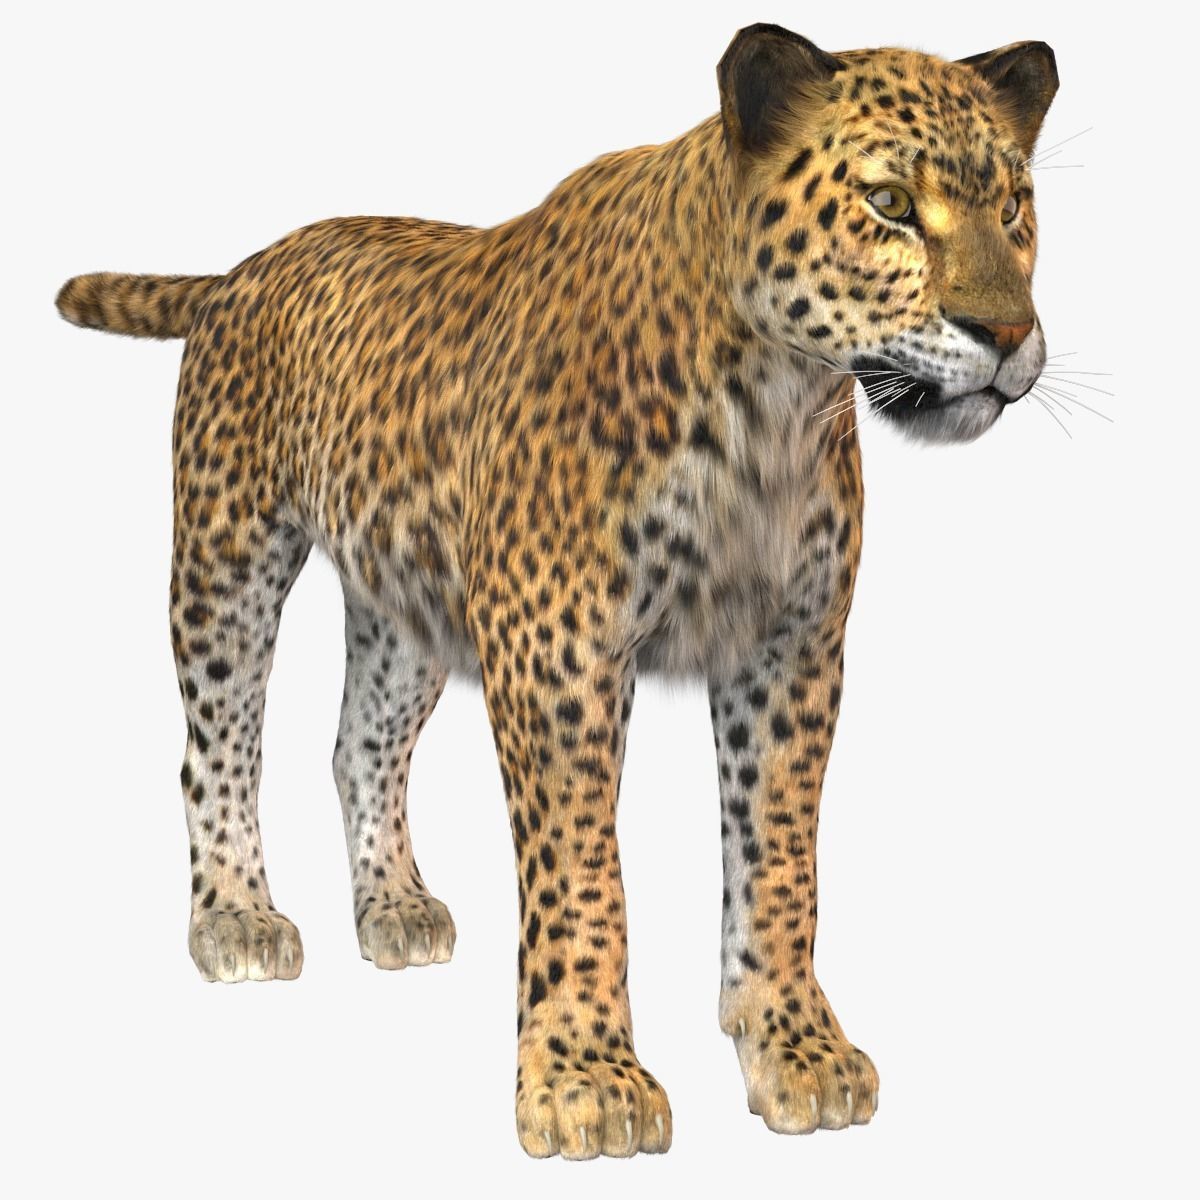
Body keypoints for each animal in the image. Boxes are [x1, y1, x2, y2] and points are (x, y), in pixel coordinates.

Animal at [55, 23, 1058, 1159]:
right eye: (888, 203)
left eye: (1015, 205)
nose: (1007, 335)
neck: (773, 405)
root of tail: (243, 267)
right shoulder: (557, 652)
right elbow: (581, 876)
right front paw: (587, 1079)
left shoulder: (791, 650)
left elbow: (779, 858)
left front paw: (795, 1046)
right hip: (226, 554)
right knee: (216, 746)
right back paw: (235, 917)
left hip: (407, 600)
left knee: (359, 746)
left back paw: (393, 905)